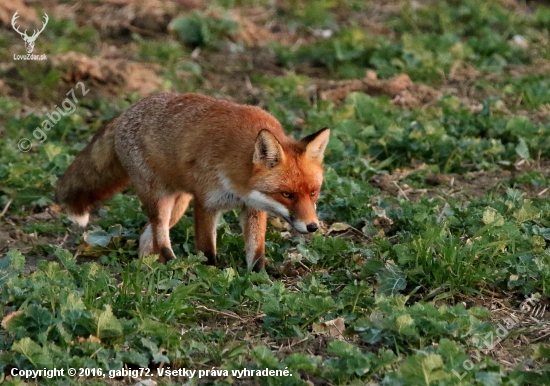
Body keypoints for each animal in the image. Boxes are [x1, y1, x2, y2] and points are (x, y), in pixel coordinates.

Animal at [55, 92, 332, 270]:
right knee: (159, 236)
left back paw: (147, 269)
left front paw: (260, 277)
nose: (312, 227)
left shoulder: (253, 208)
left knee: (147, 236)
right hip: (161, 200)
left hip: (178, 204)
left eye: (314, 193)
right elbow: (207, 250)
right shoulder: (206, 203)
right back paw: (173, 263)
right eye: (286, 194)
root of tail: (126, 112)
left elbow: (257, 252)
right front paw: (210, 274)